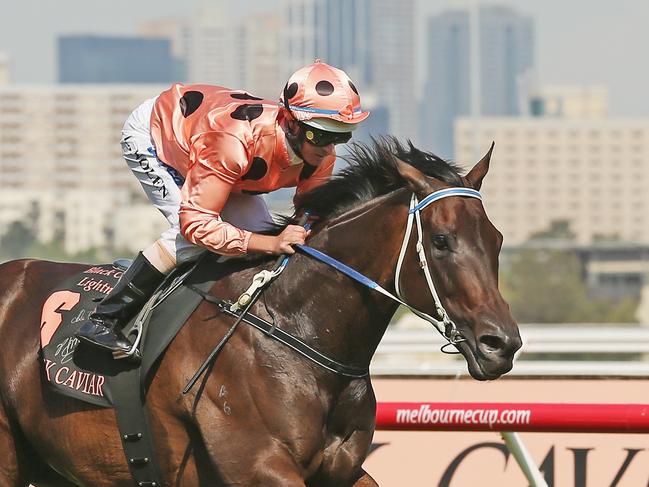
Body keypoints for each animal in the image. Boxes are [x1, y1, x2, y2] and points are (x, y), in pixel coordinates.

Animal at [0, 138, 520, 487]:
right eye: (441, 241)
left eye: (496, 240)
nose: (502, 344)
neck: (296, 327)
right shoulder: (258, 466)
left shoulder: (343, 471)